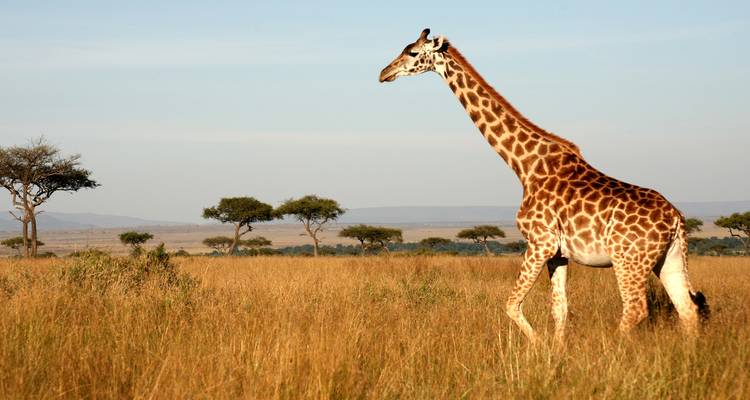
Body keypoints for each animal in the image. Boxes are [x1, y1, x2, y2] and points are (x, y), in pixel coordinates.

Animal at [379, 29, 708, 343]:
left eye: (412, 52)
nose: (384, 72)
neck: (525, 166)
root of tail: (676, 219)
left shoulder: (539, 242)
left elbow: (512, 304)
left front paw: (538, 346)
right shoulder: (558, 253)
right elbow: (559, 309)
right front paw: (557, 352)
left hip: (629, 260)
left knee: (636, 309)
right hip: (668, 258)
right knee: (687, 309)